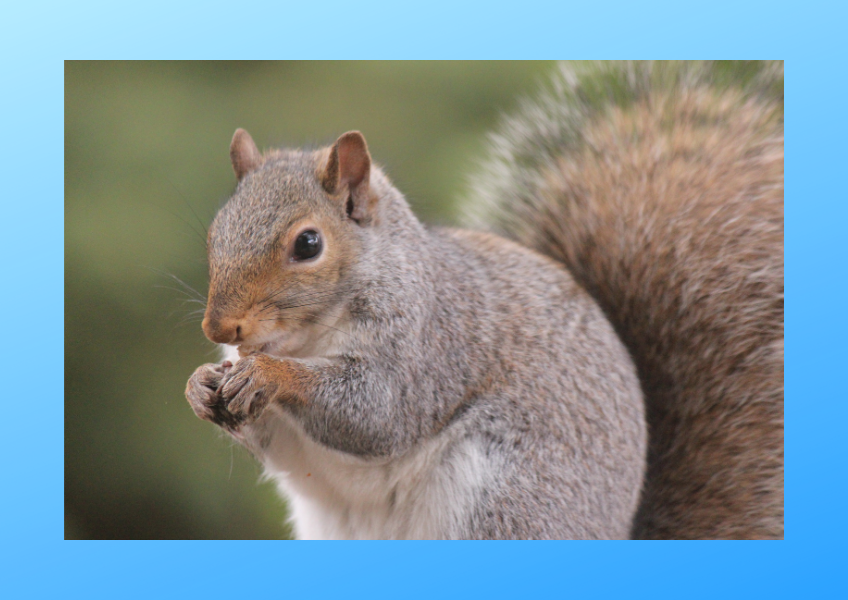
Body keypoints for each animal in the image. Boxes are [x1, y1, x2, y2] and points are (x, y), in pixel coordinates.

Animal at [184, 61, 780, 540]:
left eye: (308, 244)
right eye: (215, 231)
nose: (219, 329)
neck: (304, 337)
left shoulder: (428, 344)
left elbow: (378, 412)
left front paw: (271, 375)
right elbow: (275, 442)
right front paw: (200, 385)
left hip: (507, 501)